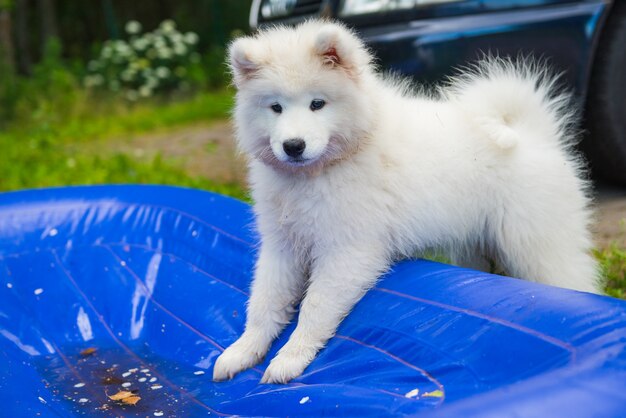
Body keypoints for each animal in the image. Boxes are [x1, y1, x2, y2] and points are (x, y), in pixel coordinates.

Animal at [212, 20, 596, 386]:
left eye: (317, 104)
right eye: (275, 108)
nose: (293, 146)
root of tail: (534, 134)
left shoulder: (348, 250)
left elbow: (315, 305)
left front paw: (290, 358)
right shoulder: (282, 245)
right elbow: (264, 301)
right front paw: (242, 351)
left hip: (537, 244)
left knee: (574, 281)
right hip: (474, 245)